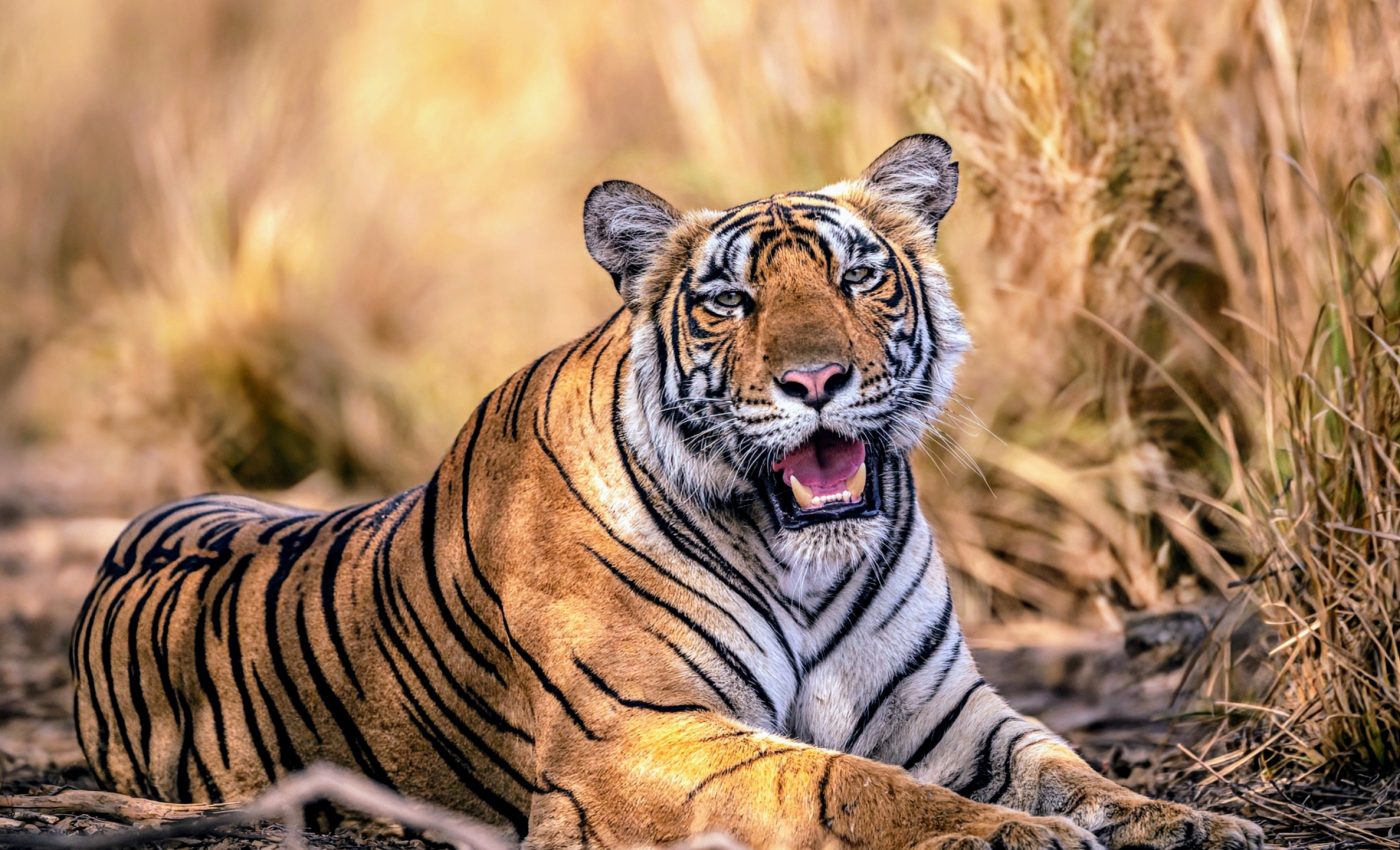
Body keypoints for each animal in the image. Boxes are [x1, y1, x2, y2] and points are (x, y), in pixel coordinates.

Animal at [71, 135, 1263, 850]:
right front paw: (1000, 834)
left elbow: (1064, 764)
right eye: (730, 300)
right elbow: (841, 781)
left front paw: (1178, 818)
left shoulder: (943, 711)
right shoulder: (638, 736)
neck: (799, 559)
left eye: (858, 277)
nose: (817, 381)